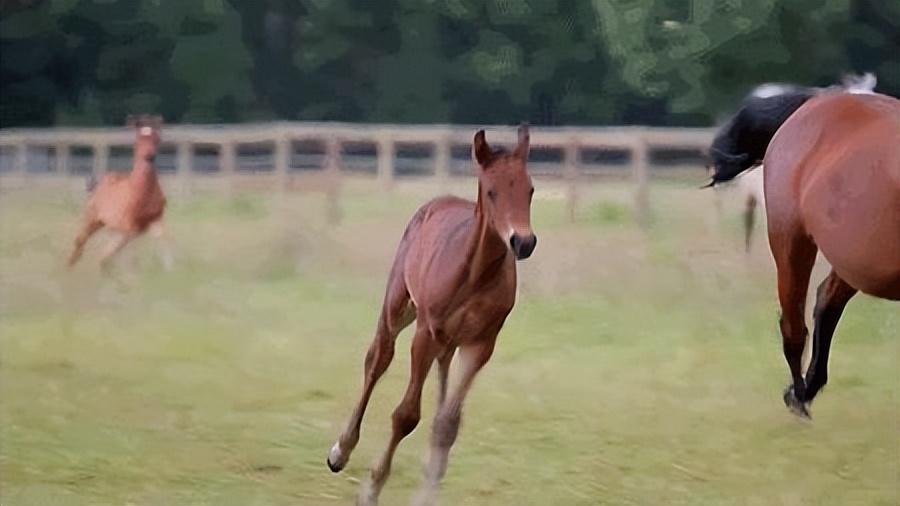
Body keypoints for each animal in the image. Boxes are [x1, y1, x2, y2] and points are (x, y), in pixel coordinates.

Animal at [67, 115, 171, 272]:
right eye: (137, 140)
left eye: (157, 139)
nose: (149, 156)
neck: (141, 193)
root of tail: (100, 183)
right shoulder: (129, 225)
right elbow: (125, 251)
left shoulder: (155, 219)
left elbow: (163, 241)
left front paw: (170, 270)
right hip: (92, 218)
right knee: (81, 240)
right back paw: (70, 267)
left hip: (111, 226)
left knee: (106, 250)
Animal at [326, 124, 536, 504]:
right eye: (492, 192)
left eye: (530, 189)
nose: (523, 242)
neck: (476, 274)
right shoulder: (426, 332)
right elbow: (407, 415)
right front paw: (371, 488)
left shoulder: (481, 344)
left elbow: (447, 424)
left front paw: (427, 491)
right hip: (399, 306)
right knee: (377, 359)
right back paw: (340, 451)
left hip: (450, 340)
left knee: (440, 383)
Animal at [724, 93, 900, 418]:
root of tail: (815, 102)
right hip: (791, 243)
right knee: (794, 325)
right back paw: (799, 396)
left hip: (851, 260)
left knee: (826, 304)